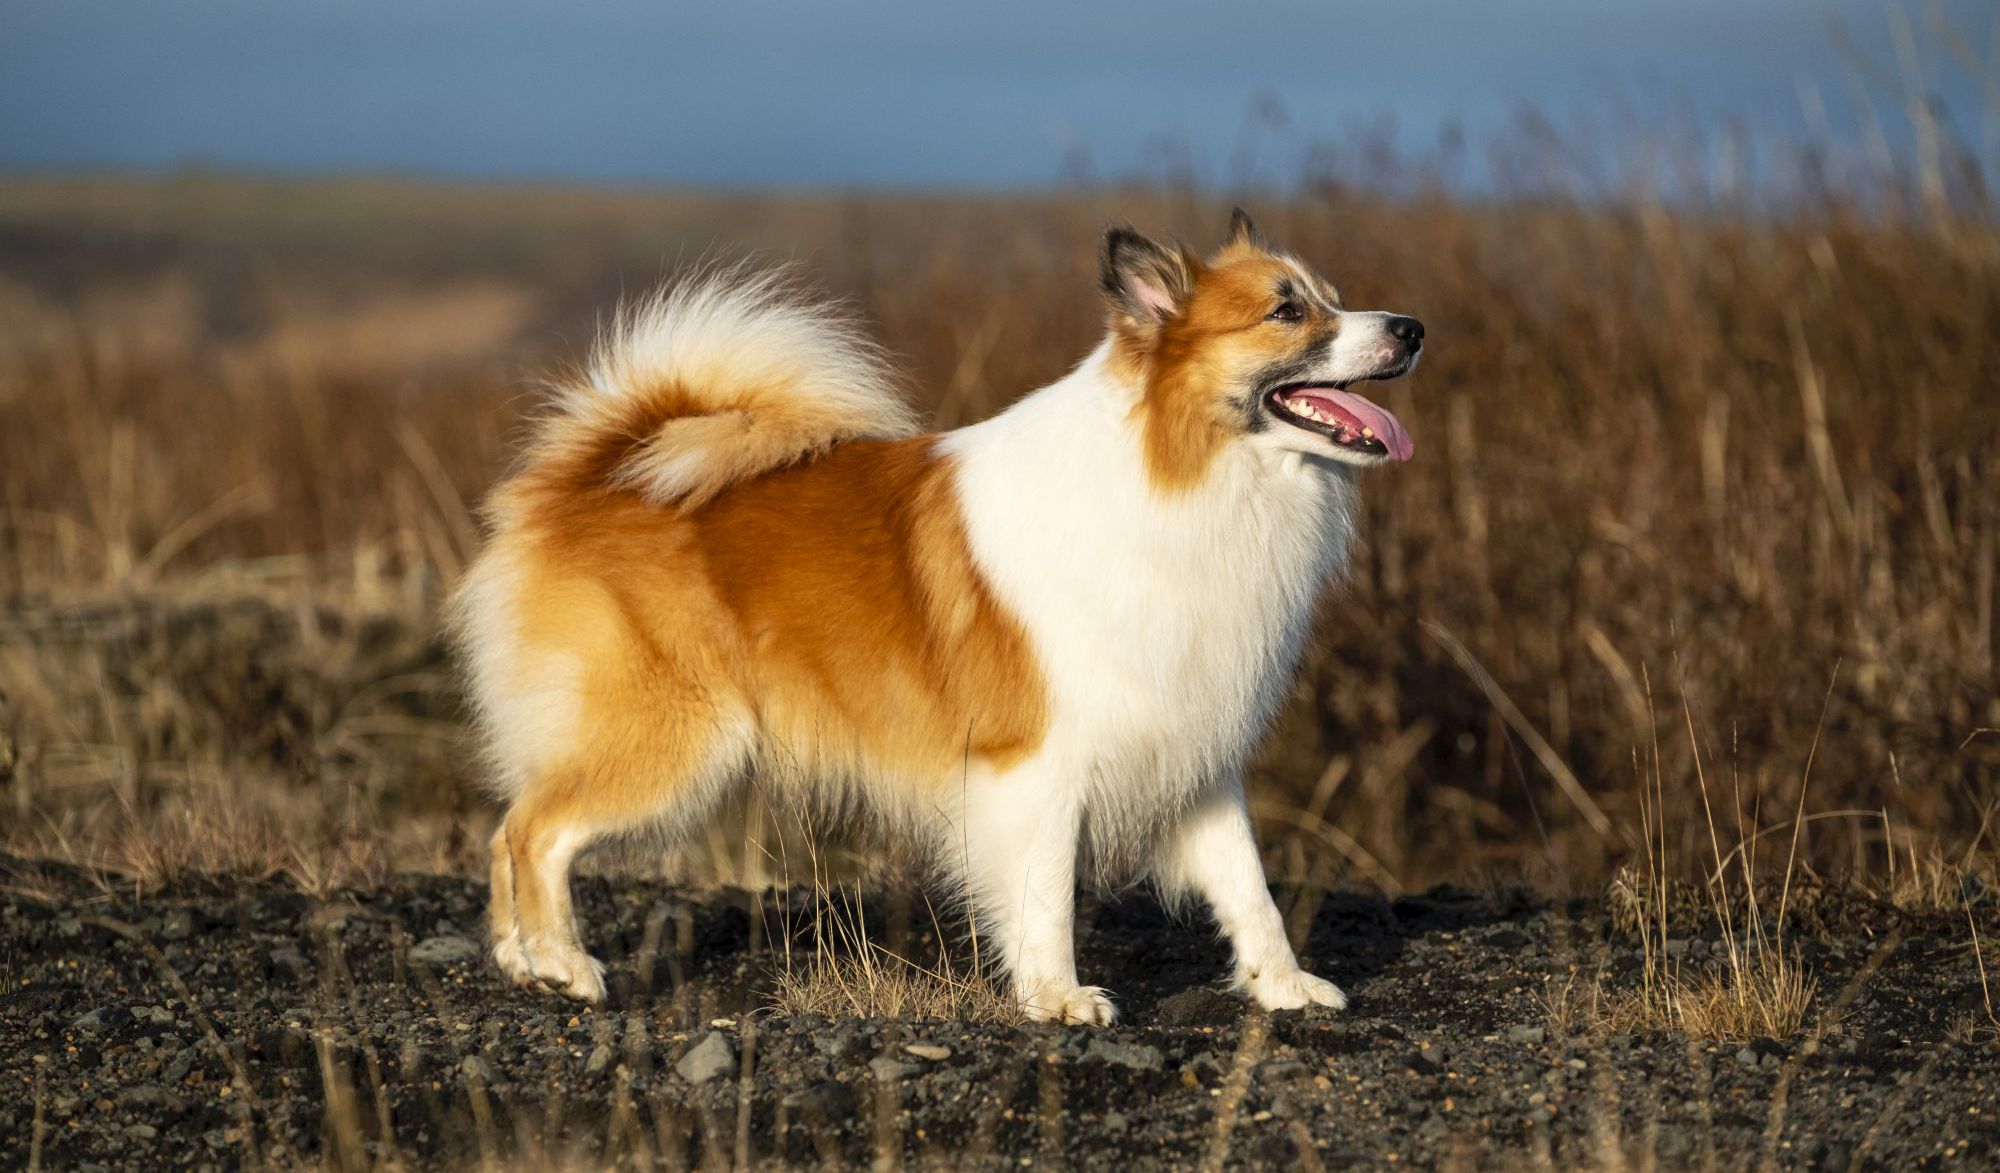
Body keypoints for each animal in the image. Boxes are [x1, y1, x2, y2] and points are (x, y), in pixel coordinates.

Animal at [454, 212, 1424, 1024]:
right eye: (1287, 311)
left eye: (1330, 295)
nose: (1411, 327)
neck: (1184, 478)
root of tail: (591, 476)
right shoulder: (1037, 761)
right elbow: (1045, 892)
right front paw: (1057, 997)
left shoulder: (1196, 749)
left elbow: (1247, 886)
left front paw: (1283, 984)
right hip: (680, 739)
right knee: (535, 830)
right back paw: (563, 964)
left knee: (507, 828)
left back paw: (519, 961)